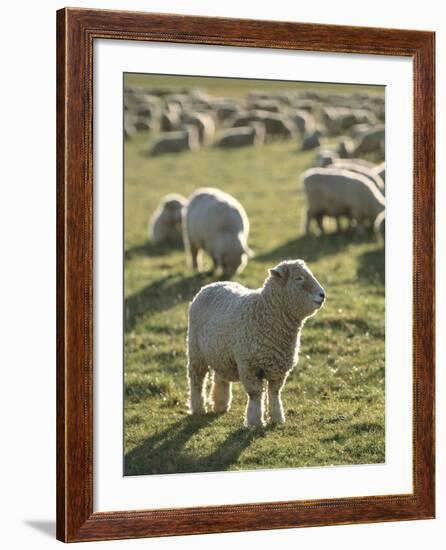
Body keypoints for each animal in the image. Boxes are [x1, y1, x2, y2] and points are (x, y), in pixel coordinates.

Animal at [186, 260, 326, 430]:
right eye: (298, 278)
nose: (322, 295)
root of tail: (210, 285)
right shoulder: (250, 367)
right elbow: (255, 394)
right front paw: (255, 422)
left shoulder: (279, 369)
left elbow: (274, 393)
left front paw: (277, 419)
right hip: (196, 351)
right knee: (197, 380)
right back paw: (198, 408)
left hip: (221, 353)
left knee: (220, 378)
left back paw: (221, 405)